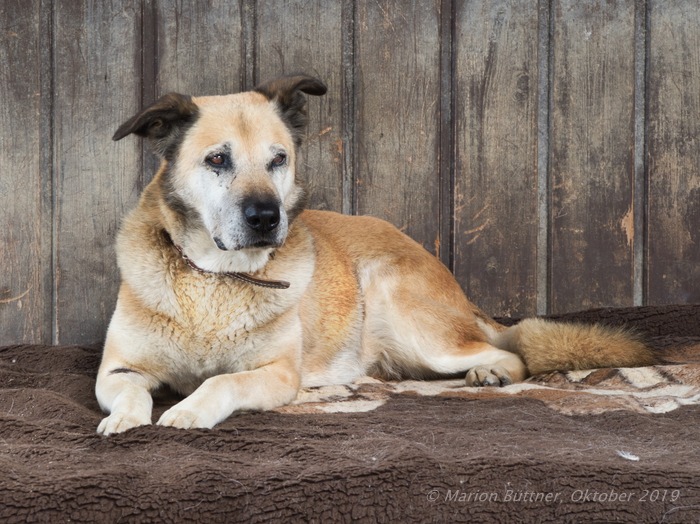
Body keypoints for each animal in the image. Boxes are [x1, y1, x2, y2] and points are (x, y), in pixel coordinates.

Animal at [94, 72, 656, 434]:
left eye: (279, 160)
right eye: (216, 160)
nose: (267, 218)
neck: (214, 279)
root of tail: (463, 299)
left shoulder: (276, 374)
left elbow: (221, 383)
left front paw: (189, 409)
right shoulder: (117, 370)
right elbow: (131, 390)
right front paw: (125, 418)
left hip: (401, 308)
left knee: (508, 351)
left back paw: (490, 372)